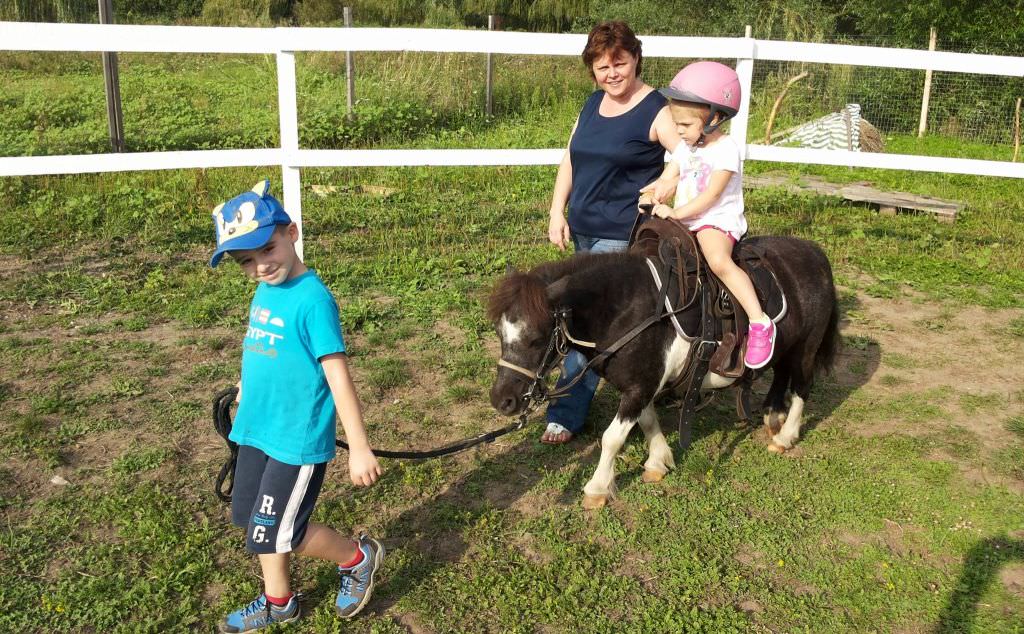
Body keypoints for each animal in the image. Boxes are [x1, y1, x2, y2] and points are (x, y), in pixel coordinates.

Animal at [483, 235, 835, 508]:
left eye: (536, 338)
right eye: (500, 333)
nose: (503, 400)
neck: (625, 310)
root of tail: (813, 252)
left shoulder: (640, 387)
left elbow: (612, 438)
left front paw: (597, 489)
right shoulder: (643, 385)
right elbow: (648, 420)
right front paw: (658, 461)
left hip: (807, 347)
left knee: (803, 385)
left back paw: (786, 436)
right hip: (787, 346)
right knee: (781, 374)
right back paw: (773, 416)